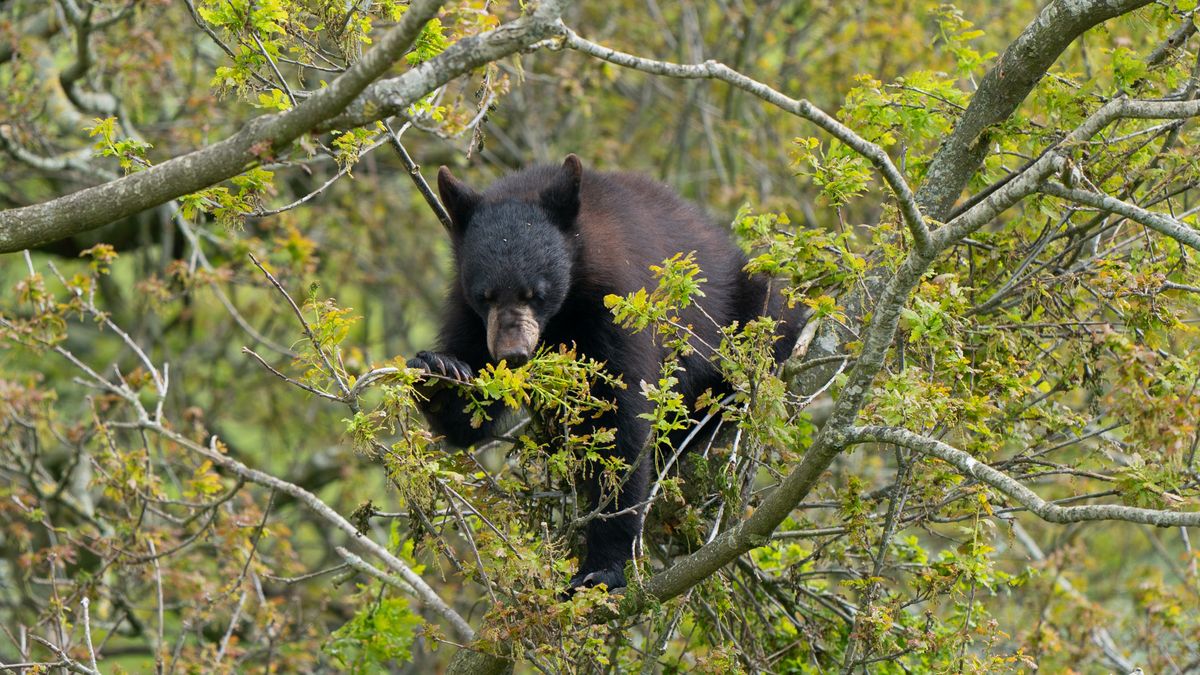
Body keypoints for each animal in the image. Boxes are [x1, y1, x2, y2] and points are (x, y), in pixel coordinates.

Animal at [408, 154, 804, 591]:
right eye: (486, 295)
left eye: (536, 293)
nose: (513, 354)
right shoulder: (469, 316)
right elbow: (467, 417)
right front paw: (438, 372)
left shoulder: (615, 305)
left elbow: (621, 422)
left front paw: (603, 566)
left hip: (746, 311)